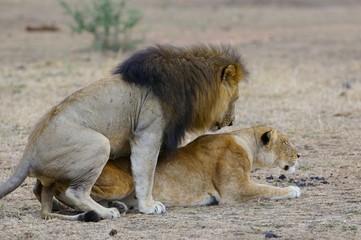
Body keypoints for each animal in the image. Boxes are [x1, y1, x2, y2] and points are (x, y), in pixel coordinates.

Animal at [0, 44, 245, 220]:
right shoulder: (148, 132)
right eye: (236, 99)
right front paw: (148, 206)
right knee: (75, 192)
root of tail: (29, 151)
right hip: (99, 144)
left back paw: (69, 208)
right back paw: (106, 212)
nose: (232, 122)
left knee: (40, 190)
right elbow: (145, 173)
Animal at [35, 125, 300, 221]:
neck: (244, 141)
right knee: (69, 191)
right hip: (123, 179)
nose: (299, 156)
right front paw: (293, 189)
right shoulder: (235, 191)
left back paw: (117, 206)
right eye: (286, 142)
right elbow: (268, 188)